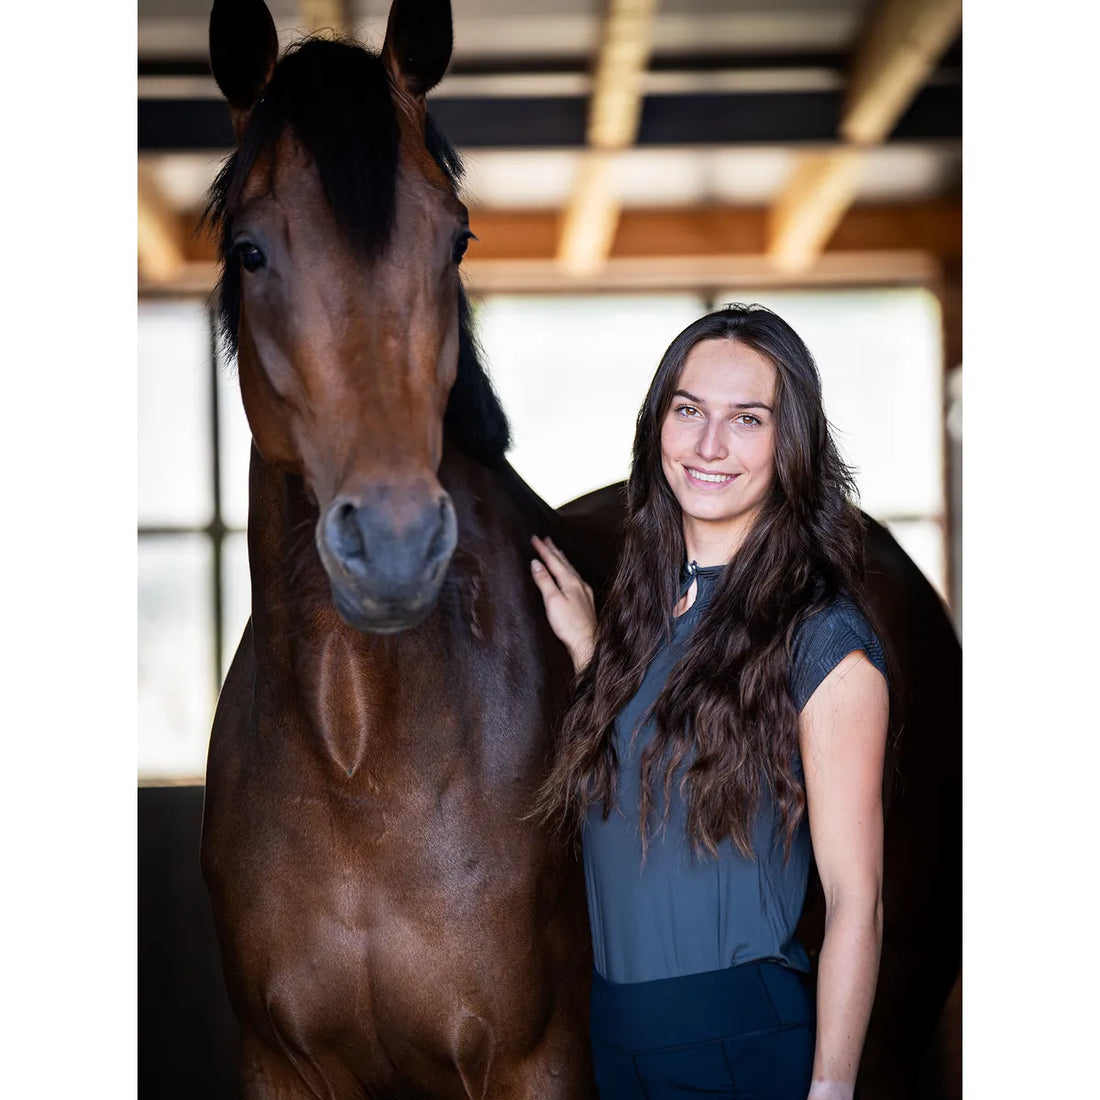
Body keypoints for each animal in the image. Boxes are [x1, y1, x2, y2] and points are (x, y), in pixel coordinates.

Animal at [200, 1, 960, 1096]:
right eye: (252, 249)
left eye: (454, 241)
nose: (393, 543)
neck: (357, 755)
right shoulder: (279, 1067)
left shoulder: (539, 1062)